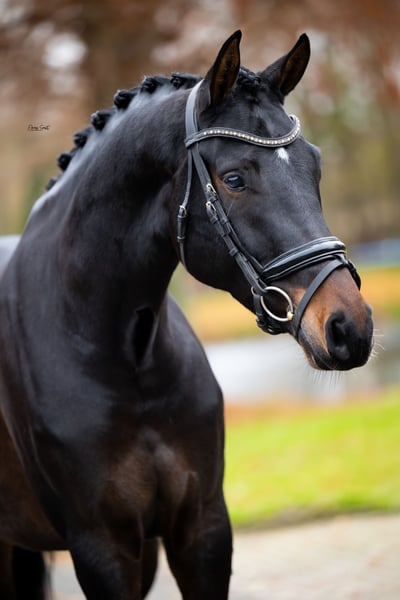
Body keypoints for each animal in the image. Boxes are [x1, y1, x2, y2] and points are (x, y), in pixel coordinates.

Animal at [0, 30, 373, 599]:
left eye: (315, 166)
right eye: (235, 178)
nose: (350, 328)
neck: (124, 357)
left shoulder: (202, 529)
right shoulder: (101, 547)